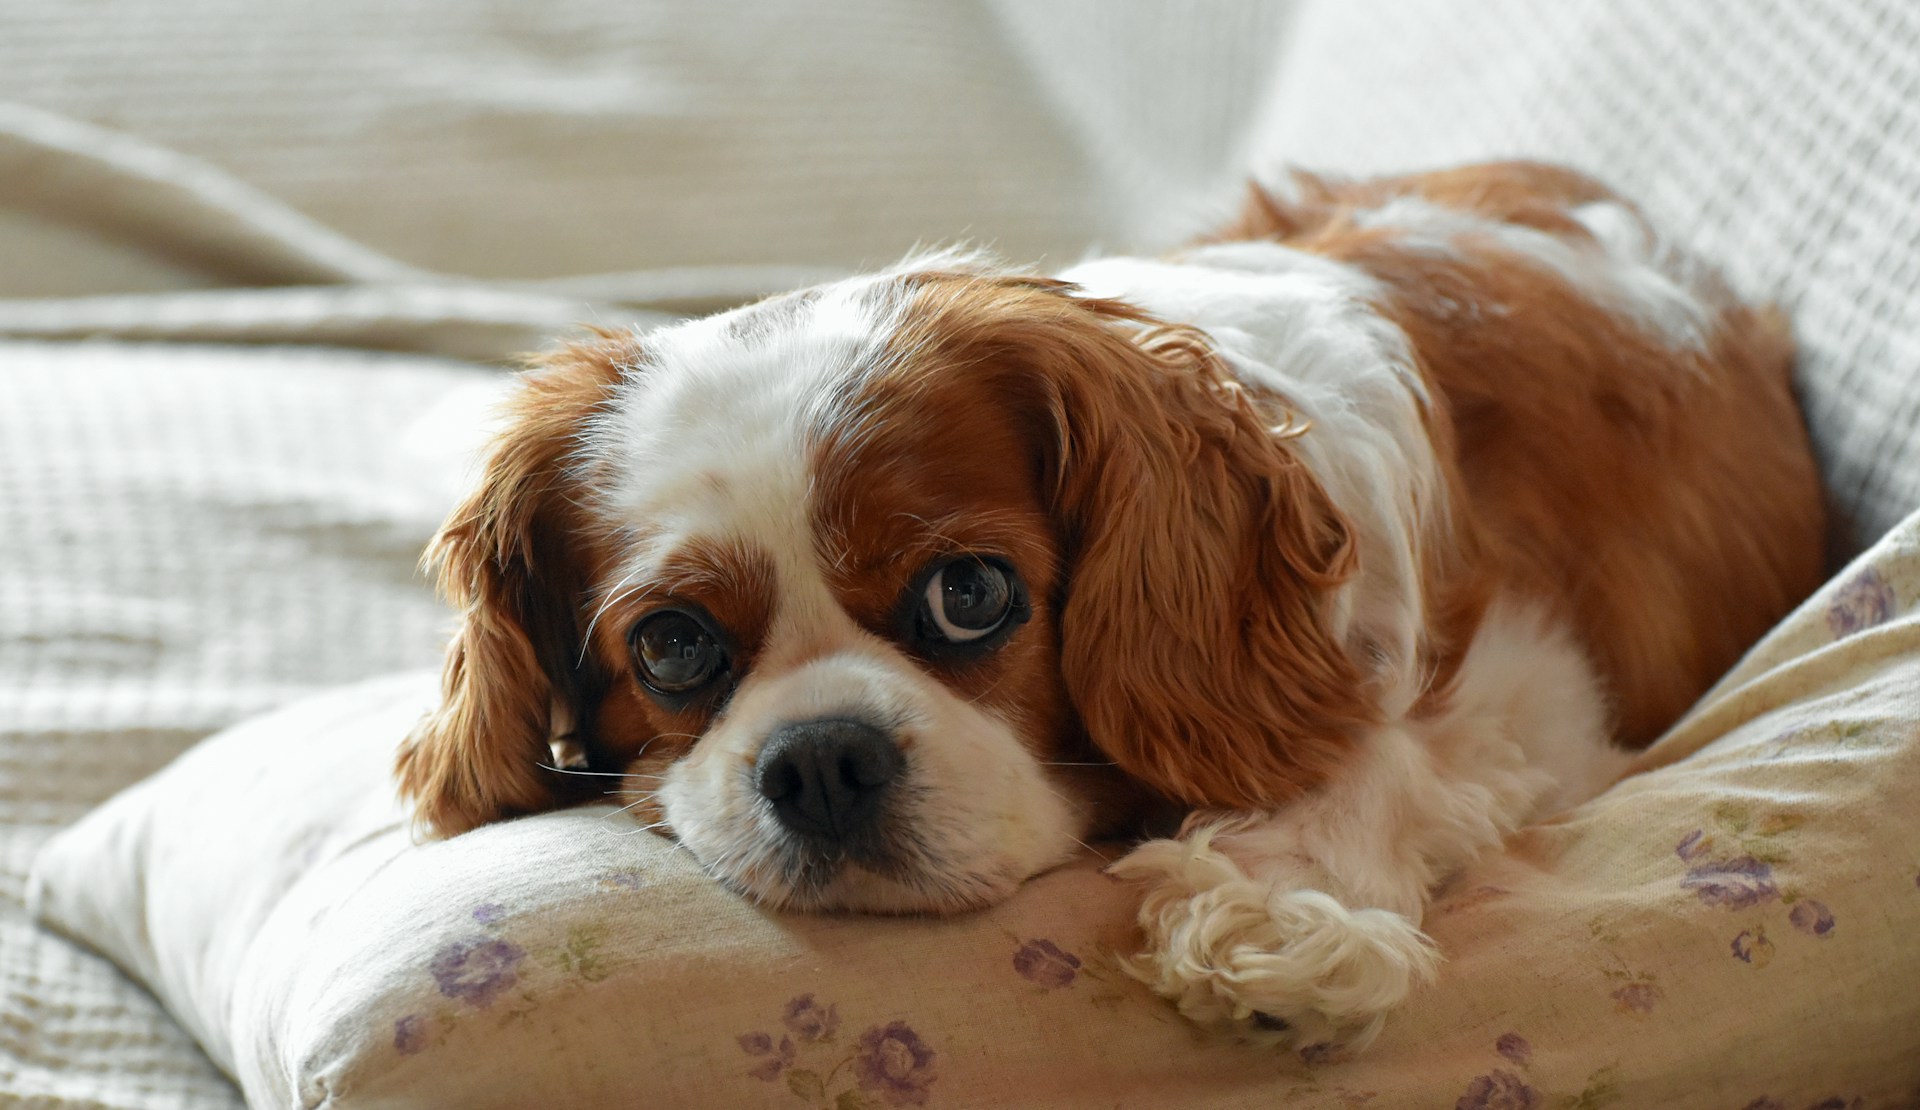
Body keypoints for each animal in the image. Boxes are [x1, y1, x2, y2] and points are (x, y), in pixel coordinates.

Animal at [393, 159, 1827, 1044]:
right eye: (674, 647)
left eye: (971, 593)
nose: (820, 761)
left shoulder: (1543, 687)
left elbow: (1389, 747)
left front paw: (1281, 911)